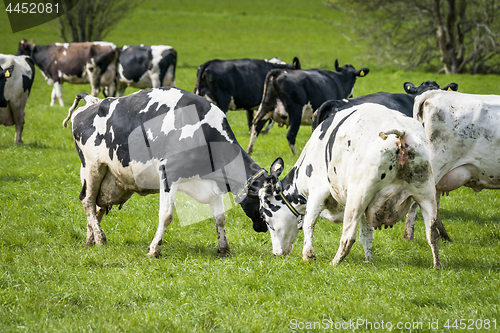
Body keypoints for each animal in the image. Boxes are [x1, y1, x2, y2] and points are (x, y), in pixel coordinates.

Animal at [63, 86, 276, 256]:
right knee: (87, 201)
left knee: (96, 207)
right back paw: (100, 238)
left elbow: (220, 218)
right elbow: (166, 215)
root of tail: (93, 102)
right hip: (92, 167)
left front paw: (224, 249)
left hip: (111, 178)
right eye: (264, 208)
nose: (263, 228)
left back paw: (90, 239)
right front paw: (154, 250)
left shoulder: (213, 182)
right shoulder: (169, 172)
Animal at [258, 104, 442, 268]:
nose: (276, 253)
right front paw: (369, 261)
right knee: (433, 233)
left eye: (265, 217)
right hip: (425, 193)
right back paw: (437, 266)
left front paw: (308, 255)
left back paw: (334, 263)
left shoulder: (317, 192)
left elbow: (309, 224)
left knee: (348, 237)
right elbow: (367, 235)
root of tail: (402, 135)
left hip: (358, 196)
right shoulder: (368, 208)